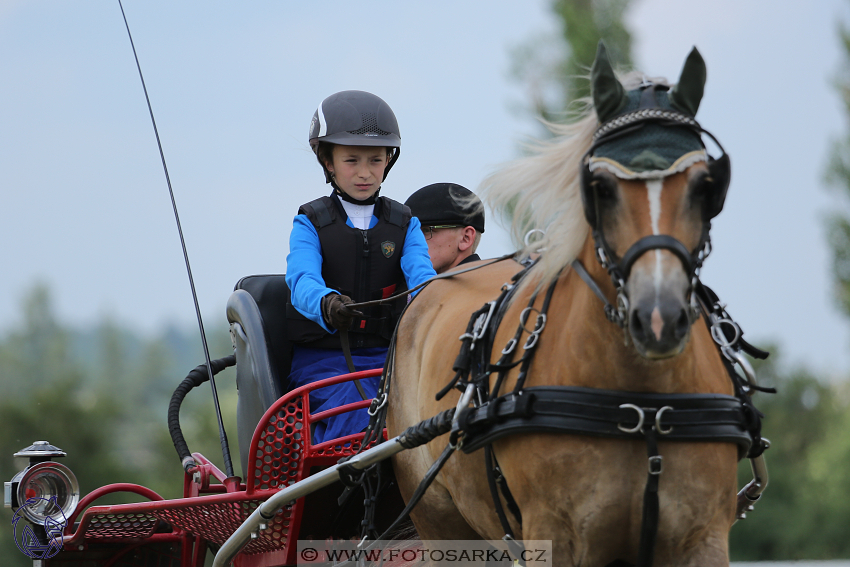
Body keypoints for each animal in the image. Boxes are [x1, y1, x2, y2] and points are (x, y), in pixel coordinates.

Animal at [386, 42, 760, 564]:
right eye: (600, 188)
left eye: (707, 185)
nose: (659, 319)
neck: (641, 404)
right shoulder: (555, 535)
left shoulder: (702, 537)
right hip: (441, 522)